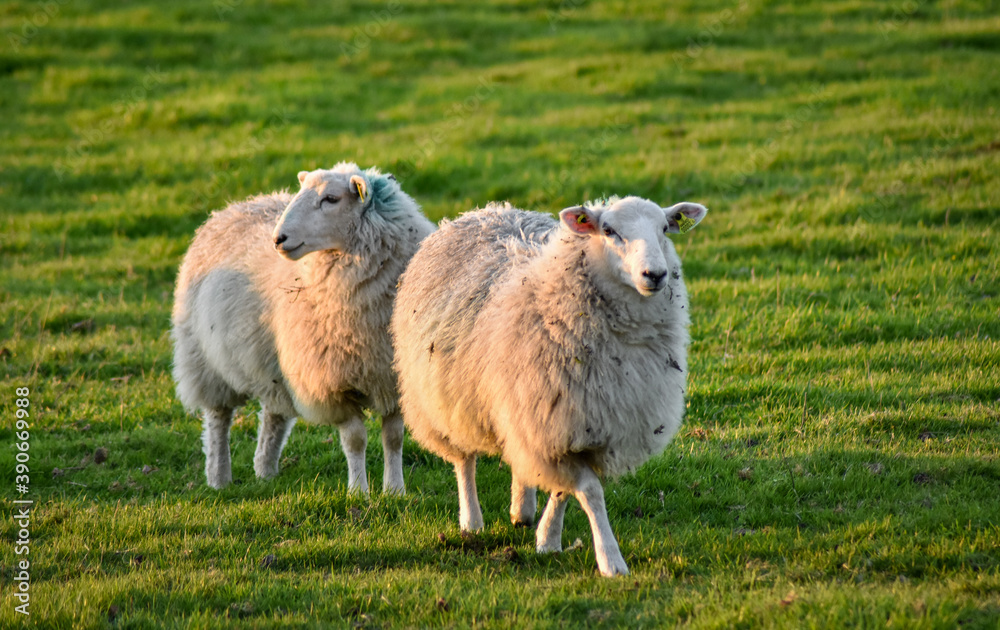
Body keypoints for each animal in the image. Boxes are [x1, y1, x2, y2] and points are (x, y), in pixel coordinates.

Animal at [172, 162, 435, 493]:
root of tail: (234, 206)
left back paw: (265, 470)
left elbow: (394, 438)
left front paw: (395, 491)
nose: (278, 239)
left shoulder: (393, 378)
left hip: (273, 366)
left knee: (274, 415)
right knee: (219, 417)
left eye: (331, 199)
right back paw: (219, 477)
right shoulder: (333, 384)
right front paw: (358, 492)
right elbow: (355, 440)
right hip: (204, 360)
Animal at [391, 196, 706, 576]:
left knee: (518, 457)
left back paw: (522, 510)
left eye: (664, 229)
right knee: (463, 459)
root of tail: (485, 211)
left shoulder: (575, 424)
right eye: (608, 230)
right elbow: (590, 492)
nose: (655, 275)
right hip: (444, 395)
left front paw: (547, 539)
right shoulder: (556, 424)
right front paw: (611, 560)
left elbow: (562, 490)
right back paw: (472, 521)